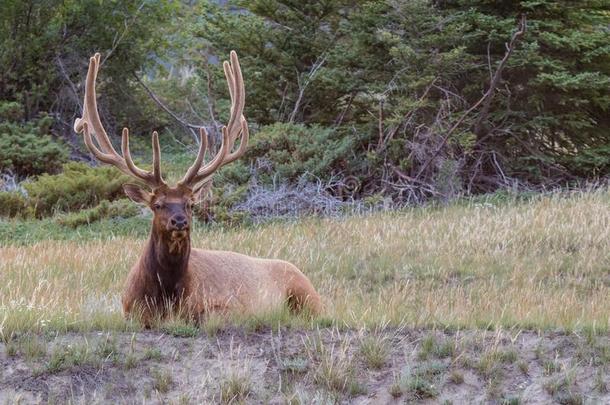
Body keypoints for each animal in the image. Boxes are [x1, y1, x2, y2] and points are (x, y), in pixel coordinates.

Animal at [73, 52, 320, 326]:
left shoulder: (227, 307)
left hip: (308, 296)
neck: (167, 299)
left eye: (190, 204)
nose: (179, 221)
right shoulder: (130, 310)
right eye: (157, 205)